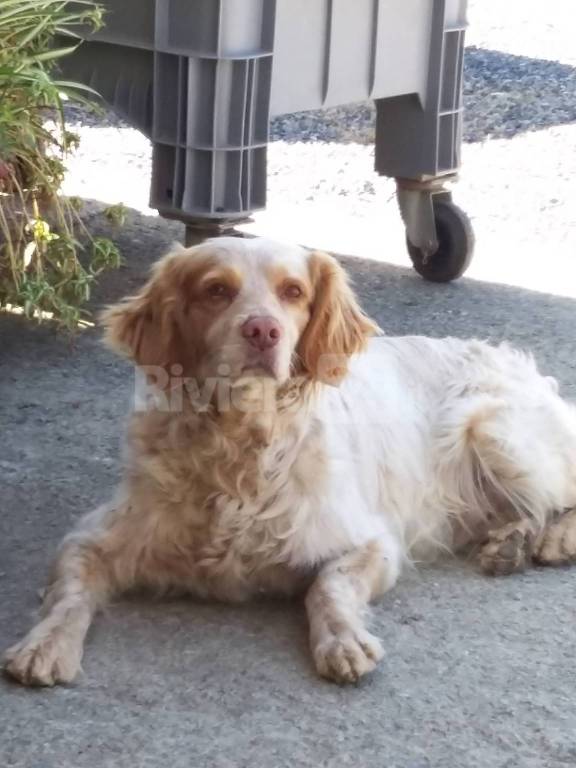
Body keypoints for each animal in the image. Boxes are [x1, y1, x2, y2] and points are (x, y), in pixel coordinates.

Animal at [6, 237, 576, 688]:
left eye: (293, 292)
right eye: (216, 290)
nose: (263, 331)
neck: (240, 449)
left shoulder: (371, 542)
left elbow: (328, 588)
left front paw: (344, 641)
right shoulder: (93, 538)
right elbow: (68, 597)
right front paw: (44, 644)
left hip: (491, 429)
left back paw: (550, 540)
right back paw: (512, 542)